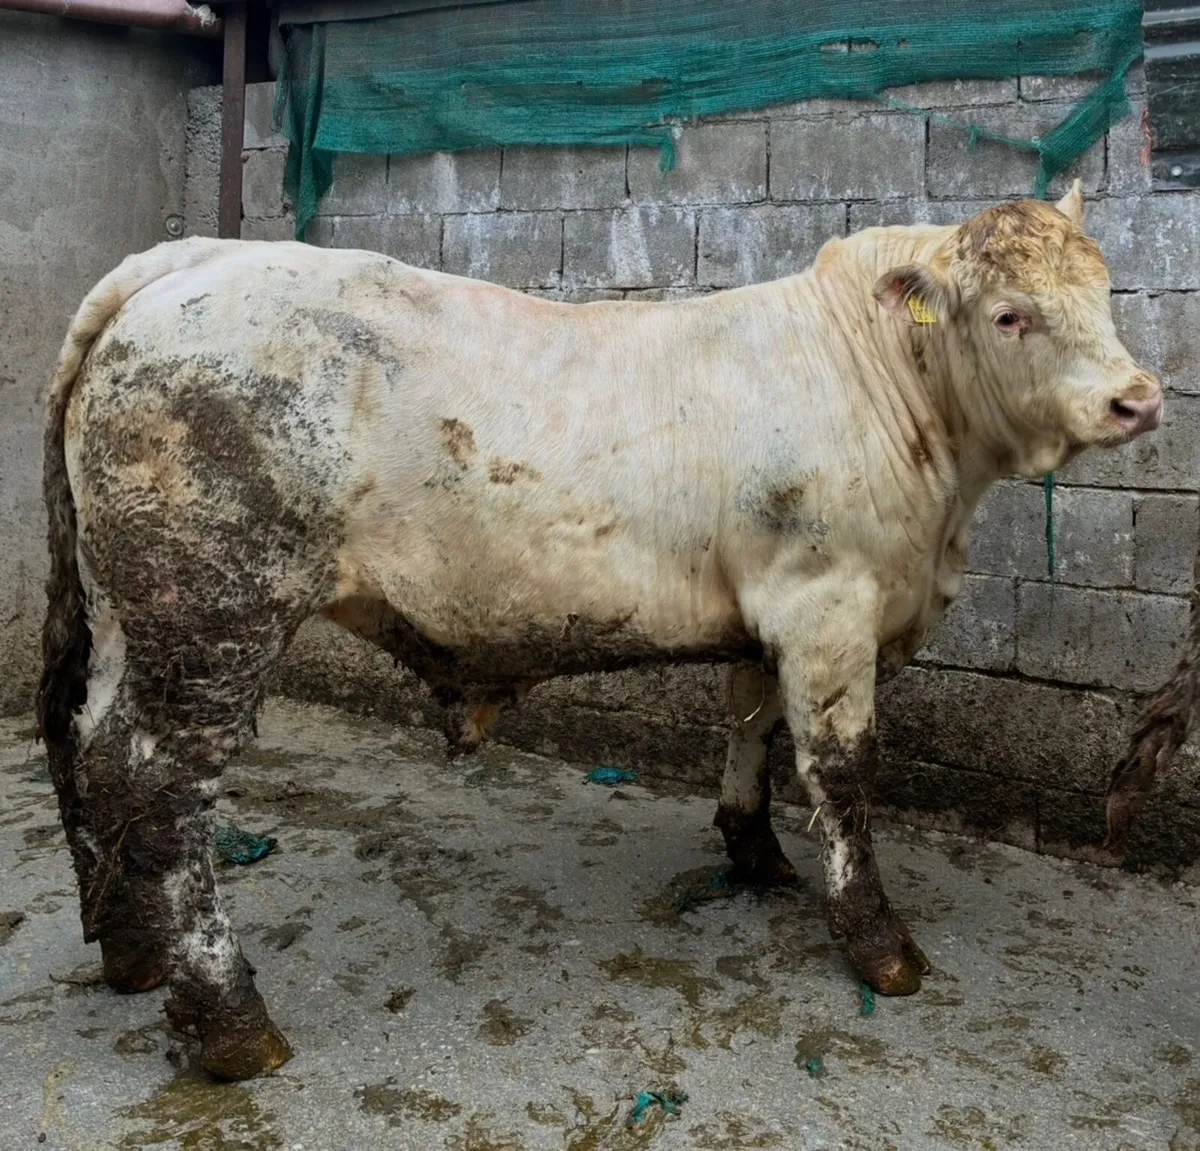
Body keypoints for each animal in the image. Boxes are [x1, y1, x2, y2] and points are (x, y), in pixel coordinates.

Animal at [38, 181, 1161, 1080]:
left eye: (1105, 292)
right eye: (1011, 313)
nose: (1137, 398)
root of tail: (190, 258)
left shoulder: (770, 607)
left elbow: (750, 725)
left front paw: (754, 851)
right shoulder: (829, 603)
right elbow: (842, 773)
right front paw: (879, 942)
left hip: (134, 617)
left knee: (94, 752)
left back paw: (131, 950)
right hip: (212, 616)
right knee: (164, 788)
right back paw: (229, 1016)